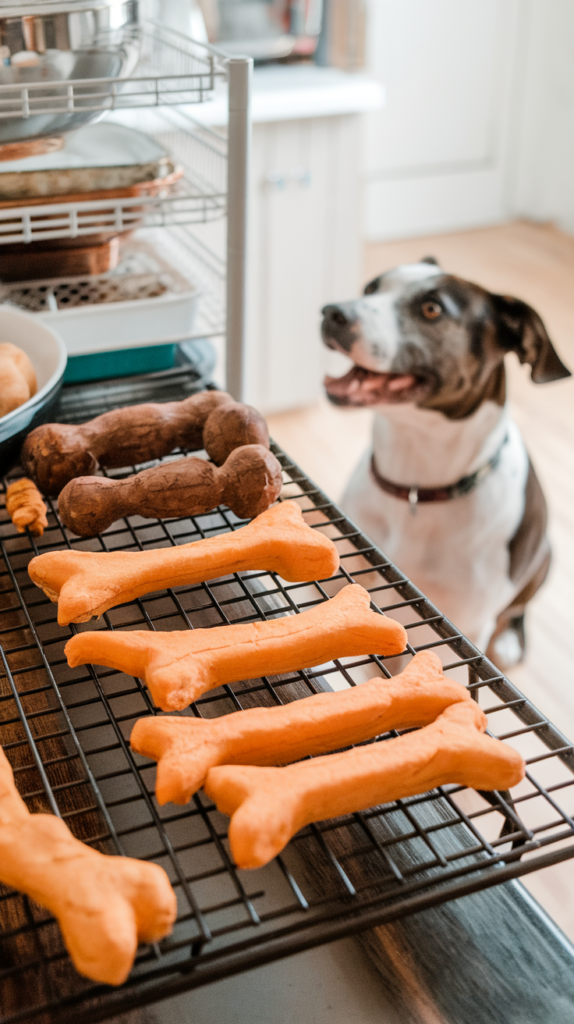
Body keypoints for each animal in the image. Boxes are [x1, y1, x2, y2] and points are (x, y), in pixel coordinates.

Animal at [323, 260, 568, 667]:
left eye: (432, 309)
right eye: (372, 288)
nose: (331, 313)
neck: (416, 487)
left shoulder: (470, 623)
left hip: (545, 558)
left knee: (517, 608)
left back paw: (509, 640)